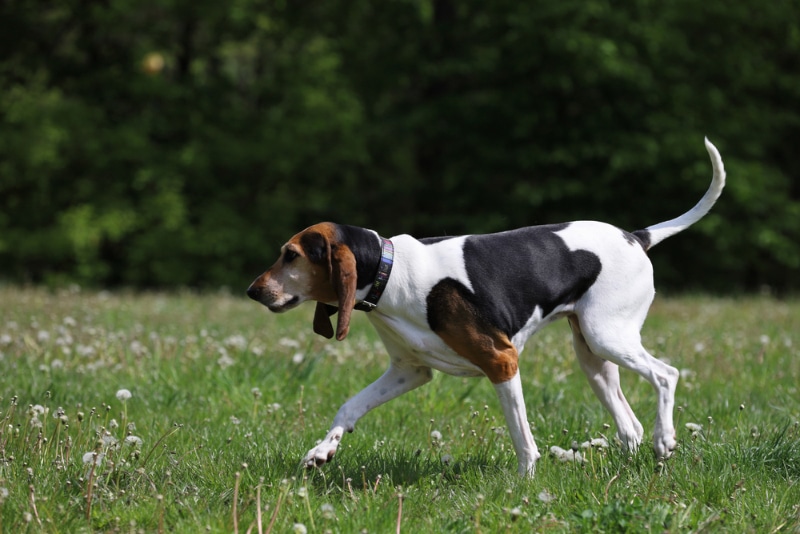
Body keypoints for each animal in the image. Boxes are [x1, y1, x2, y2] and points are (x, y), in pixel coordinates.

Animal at [248, 139, 724, 478]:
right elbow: (349, 408)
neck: (390, 270)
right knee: (629, 426)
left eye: (291, 255)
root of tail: (635, 236)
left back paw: (665, 439)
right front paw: (322, 450)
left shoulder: (502, 360)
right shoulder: (409, 371)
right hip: (593, 356)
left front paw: (525, 485)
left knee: (666, 375)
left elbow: (523, 439)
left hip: (608, 337)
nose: (253, 291)